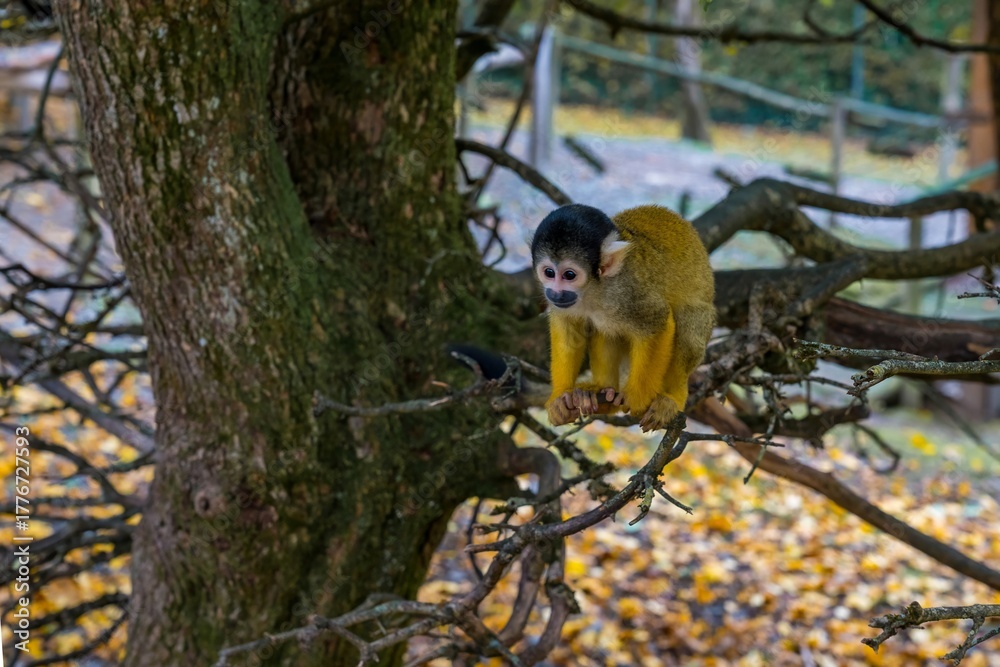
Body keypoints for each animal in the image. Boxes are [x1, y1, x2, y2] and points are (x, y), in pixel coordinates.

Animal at [530, 203, 715, 432]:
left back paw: (672, 398)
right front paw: (560, 398)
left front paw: (637, 398)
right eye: (549, 272)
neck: (594, 288)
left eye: (569, 275)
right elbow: (568, 332)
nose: (555, 293)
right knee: (604, 330)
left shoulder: (627, 292)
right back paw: (602, 394)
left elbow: (658, 322)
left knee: (688, 323)